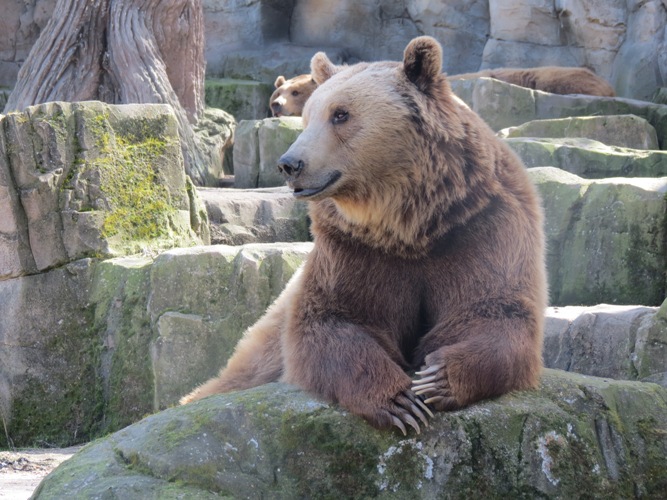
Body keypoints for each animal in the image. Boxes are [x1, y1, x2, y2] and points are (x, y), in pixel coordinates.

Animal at [183, 36, 548, 434]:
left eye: (340, 114)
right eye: (308, 116)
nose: (289, 164)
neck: (409, 221)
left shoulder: (480, 227)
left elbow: (495, 312)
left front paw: (437, 378)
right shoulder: (352, 246)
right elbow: (332, 320)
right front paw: (399, 401)